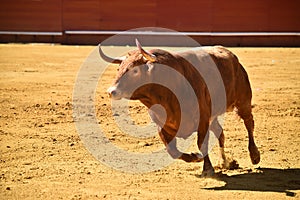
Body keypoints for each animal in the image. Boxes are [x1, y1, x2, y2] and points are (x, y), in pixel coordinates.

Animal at [101, 39, 260, 177]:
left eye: (135, 71)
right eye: (119, 68)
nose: (111, 91)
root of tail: (232, 57)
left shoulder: (202, 120)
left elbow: (202, 143)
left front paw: (207, 169)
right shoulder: (163, 125)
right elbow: (173, 151)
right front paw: (195, 157)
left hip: (243, 101)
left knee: (249, 123)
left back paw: (254, 156)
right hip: (213, 115)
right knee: (220, 132)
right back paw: (224, 162)